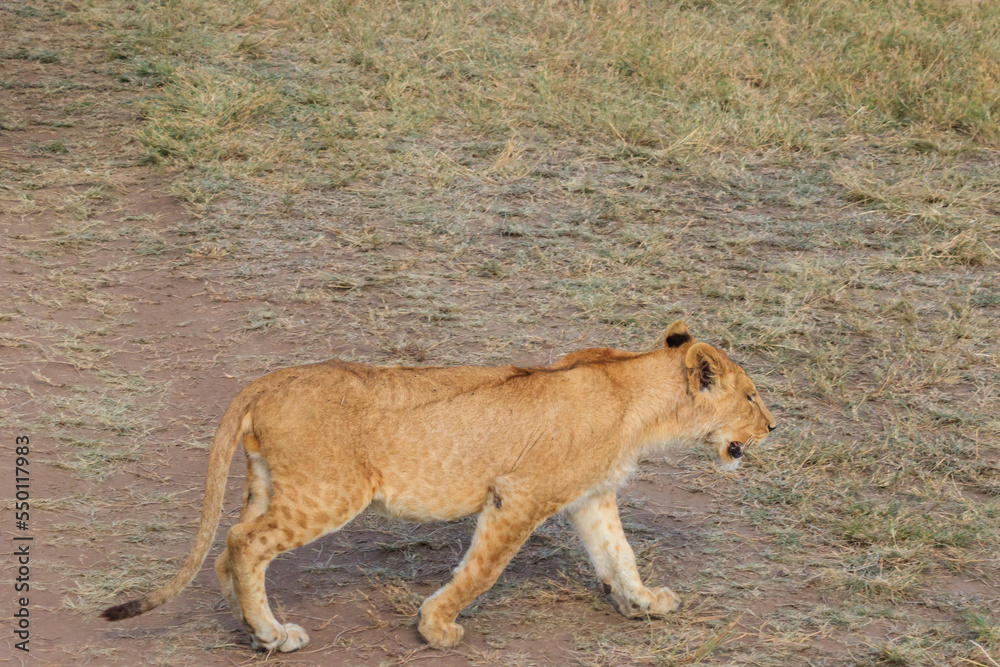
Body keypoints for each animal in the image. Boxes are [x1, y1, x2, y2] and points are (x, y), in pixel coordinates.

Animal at [101, 321, 776, 652]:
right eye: (750, 396)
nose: (772, 425)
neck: (635, 396)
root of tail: (269, 380)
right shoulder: (518, 495)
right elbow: (482, 569)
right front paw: (435, 627)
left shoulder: (590, 497)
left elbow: (619, 554)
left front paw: (642, 603)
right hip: (329, 492)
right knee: (245, 545)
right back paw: (270, 633)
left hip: (271, 485)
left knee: (230, 547)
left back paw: (252, 626)